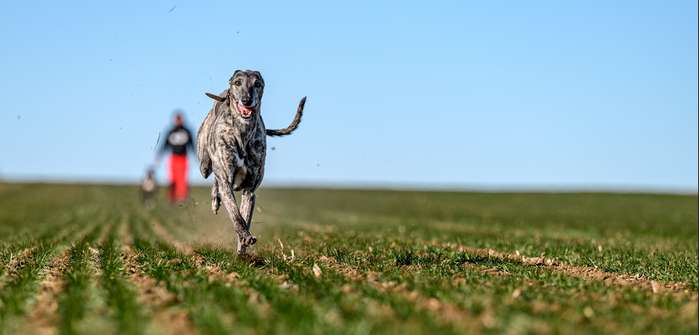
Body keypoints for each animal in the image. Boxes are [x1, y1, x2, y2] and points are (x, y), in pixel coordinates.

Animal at [197, 70, 306, 255]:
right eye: (238, 82)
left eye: (257, 84)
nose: (246, 100)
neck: (243, 132)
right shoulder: (226, 180)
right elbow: (236, 215)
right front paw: (245, 236)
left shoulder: (249, 190)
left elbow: (245, 216)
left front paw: (242, 249)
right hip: (205, 163)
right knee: (211, 174)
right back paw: (215, 199)